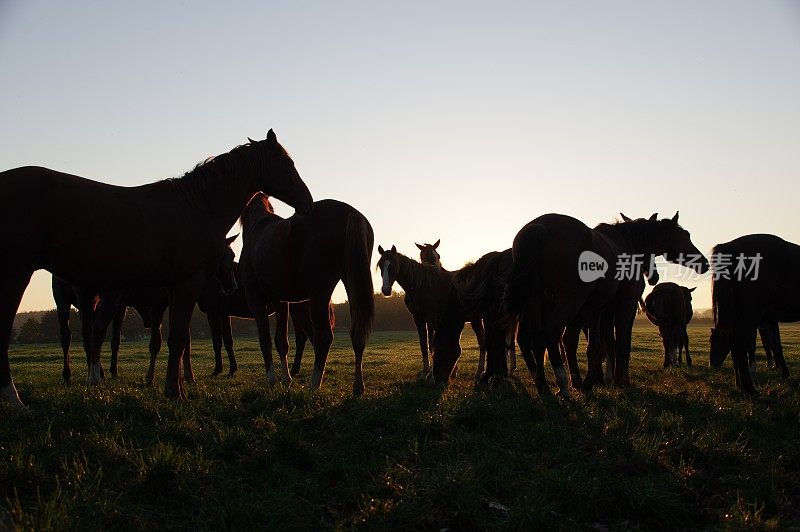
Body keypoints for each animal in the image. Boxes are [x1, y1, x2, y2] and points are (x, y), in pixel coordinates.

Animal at [0, 130, 312, 412]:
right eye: (286, 163)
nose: (307, 202)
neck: (196, 205)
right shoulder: (187, 284)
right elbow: (177, 339)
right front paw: (175, 393)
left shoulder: (172, 292)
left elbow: (176, 340)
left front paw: (175, 388)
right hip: (20, 275)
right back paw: (17, 400)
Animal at [238, 193, 376, 396]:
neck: (258, 228)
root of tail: (350, 213)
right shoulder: (281, 302)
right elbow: (281, 341)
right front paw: (286, 380)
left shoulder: (256, 301)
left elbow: (265, 340)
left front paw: (272, 380)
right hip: (351, 285)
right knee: (356, 334)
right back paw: (358, 387)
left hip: (319, 293)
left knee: (324, 336)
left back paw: (314, 385)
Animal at [376, 246, 488, 382]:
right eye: (380, 265)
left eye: (393, 265)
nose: (385, 290)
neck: (423, 286)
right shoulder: (419, 318)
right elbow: (425, 344)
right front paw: (427, 372)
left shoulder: (434, 319)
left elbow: (434, 344)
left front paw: (433, 373)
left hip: (476, 318)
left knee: (482, 342)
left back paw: (480, 372)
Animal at [504, 212, 708, 394]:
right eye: (685, 235)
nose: (704, 263)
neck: (627, 244)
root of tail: (541, 228)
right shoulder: (625, 304)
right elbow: (621, 343)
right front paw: (618, 381)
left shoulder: (596, 308)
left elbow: (595, 344)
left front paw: (592, 381)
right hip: (570, 301)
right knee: (551, 333)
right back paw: (563, 384)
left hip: (537, 300)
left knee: (536, 338)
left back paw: (545, 385)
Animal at [708, 235, 796, 392]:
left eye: (716, 341)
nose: (712, 365)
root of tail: (729, 246)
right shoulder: (764, 322)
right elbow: (771, 345)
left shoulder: (768, 322)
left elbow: (774, 345)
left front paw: (779, 369)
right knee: (739, 344)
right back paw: (748, 387)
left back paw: (743, 384)